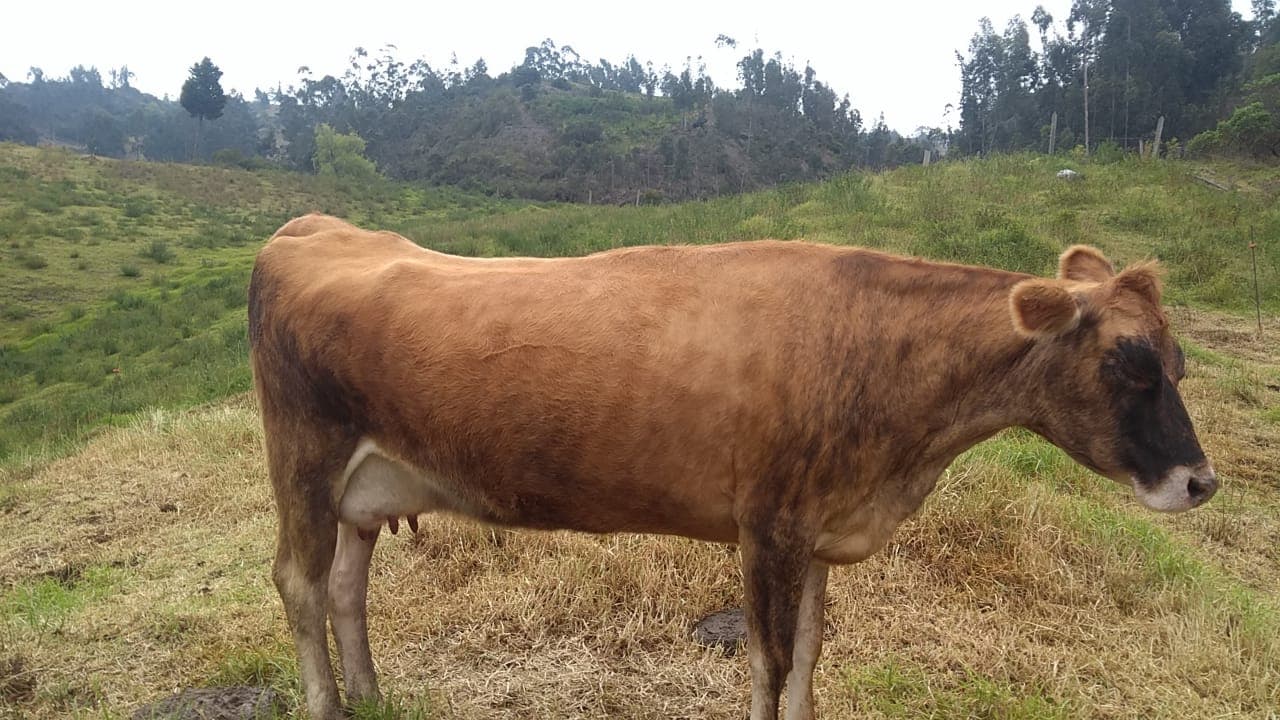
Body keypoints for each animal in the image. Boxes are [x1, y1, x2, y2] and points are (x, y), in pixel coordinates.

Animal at [247, 213, 1216, 720]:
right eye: (1127, 365)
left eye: (1177, 362)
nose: (1201, 482)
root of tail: (311, 226)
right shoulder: (769, 523)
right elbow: (772, 659)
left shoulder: (820, 524)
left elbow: (812, 653)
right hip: (302, 455)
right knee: (298, 581)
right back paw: (327, 703)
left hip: (363, 487)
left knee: (345, 588)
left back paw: (370, 698)